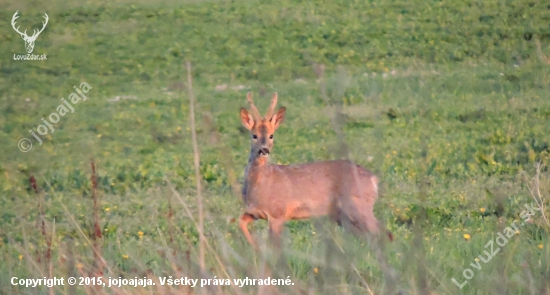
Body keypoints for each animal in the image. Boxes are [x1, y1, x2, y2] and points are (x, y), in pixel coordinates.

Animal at [240, 93, 392, 250]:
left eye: (271, 135)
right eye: (254, 135)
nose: (264, 150)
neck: (260, 184)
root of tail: (373, 179)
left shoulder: (278, 213)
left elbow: (276, 247)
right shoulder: (255, 212)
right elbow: (241, 222)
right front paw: (255, 248)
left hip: (358, 206)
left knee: (383, 232)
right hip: (344, 216)